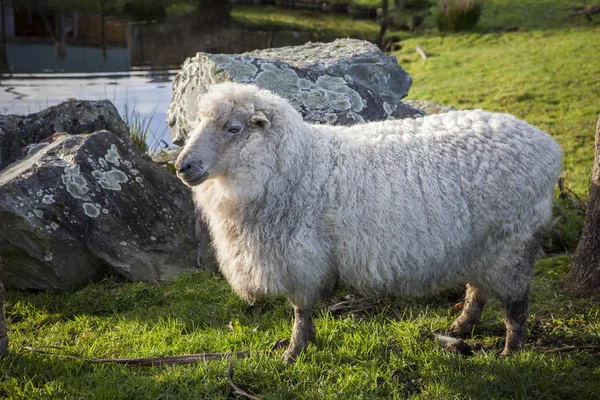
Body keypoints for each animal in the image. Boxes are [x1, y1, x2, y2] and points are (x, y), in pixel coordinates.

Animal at [173, 81, 564, 360]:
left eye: (234, 128)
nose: (182, 166)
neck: (300, 165)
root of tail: (548, 146)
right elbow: (304, 310)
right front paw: (304, 343)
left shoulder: (301, 258)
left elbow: (300, 309)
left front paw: (295, 351)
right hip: (480, 244)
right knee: (477, 289)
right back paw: (461, 327)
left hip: (511, 242)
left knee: (516, 300)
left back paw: (512, 349)